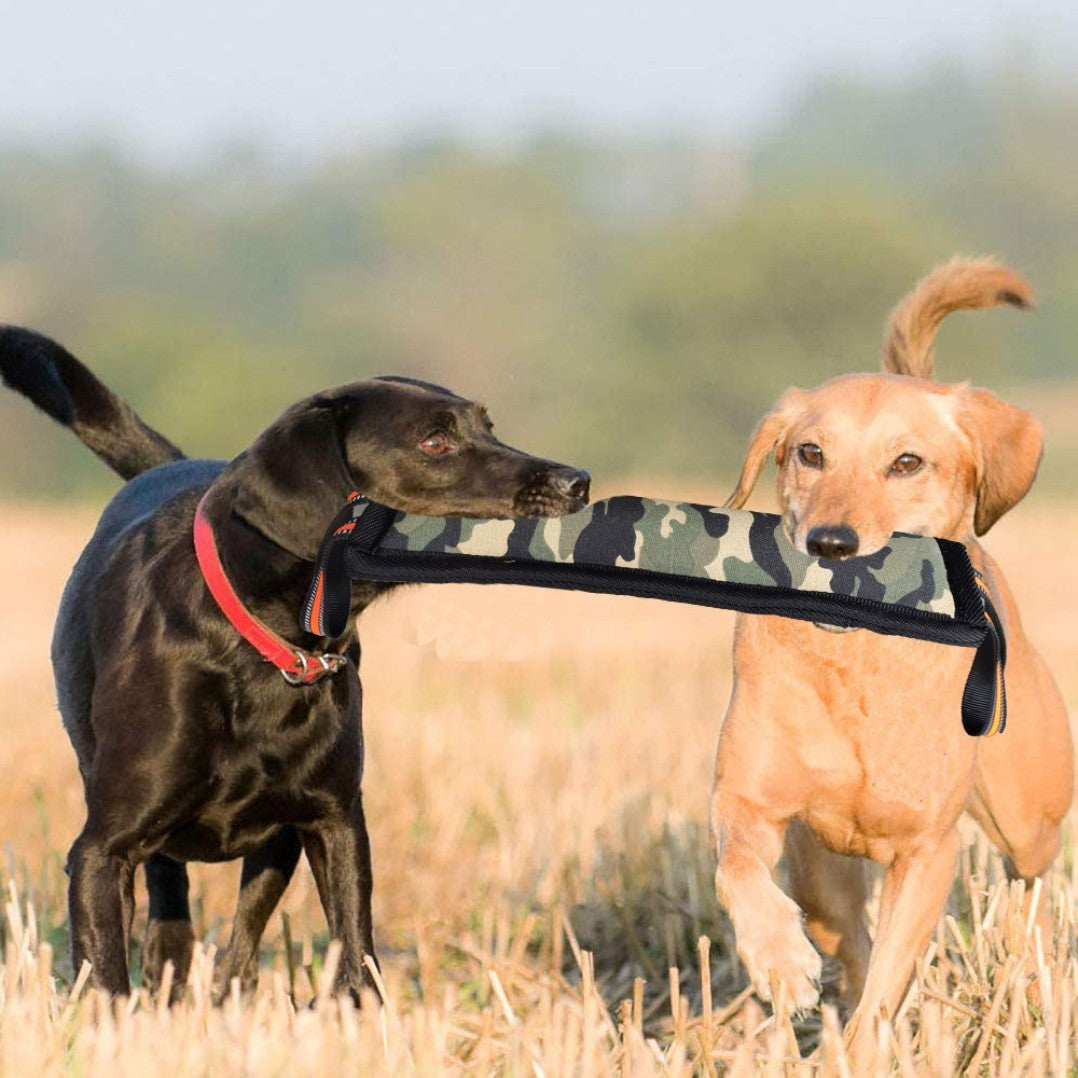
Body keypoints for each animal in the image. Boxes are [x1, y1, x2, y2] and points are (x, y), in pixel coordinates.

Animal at [2, 323, 590, 996]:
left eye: (487, 426)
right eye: (434, 441)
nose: (578, 481)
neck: (268, 647)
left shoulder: (335, 823)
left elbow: (356, 955)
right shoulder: (100, 852)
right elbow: (104, 975)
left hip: (277, 843)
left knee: (239, 943)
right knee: (171, 897)